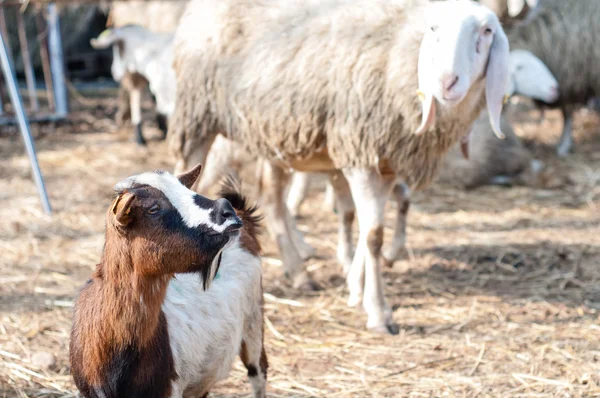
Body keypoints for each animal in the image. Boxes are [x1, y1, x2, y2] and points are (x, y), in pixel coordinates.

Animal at [169, 0, 510, 334]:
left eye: (487, 31)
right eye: (434, 28)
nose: (447, 83)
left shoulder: (385, 164)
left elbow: (368, 228)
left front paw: (357, 289)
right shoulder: (360, 152)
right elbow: (373, 237)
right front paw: (378, 312)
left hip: (270, 132)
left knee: (272, 199)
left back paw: (298, 271)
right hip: (198, 114)